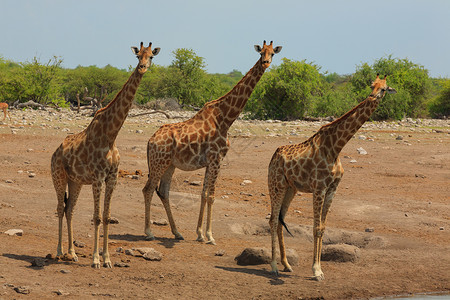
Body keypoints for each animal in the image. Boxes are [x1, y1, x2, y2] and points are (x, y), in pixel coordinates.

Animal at [51, 41, 160, 268]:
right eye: (138, 56)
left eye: (151, 57)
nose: (142, 68)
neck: (111, 135)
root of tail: (55, 152)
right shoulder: (98, 178)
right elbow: (97, 217)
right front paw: (95, 260)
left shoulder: (112, 177)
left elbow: (107, 216)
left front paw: (107, 259)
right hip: (58, 176)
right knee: (59, 208)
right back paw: (59, 251)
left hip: (75, 182)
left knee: (69, 209)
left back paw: (72, 253)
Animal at [142, 41, 282, 245]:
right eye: (261, 52)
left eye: (272, 53)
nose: (265, 63)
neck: (226, 118)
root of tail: (150, 140)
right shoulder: (217, 159)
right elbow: (212, 196)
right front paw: (209, 235)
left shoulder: (210, 162)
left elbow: (203, 194)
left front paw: (200, 233)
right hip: (158, 163)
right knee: (148, 189)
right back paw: (149, 232)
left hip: (169, 165)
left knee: (163, 192)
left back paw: (177, 232)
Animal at [268, 74, 398, 278]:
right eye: (372, 85)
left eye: (384, 88)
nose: (372, 96)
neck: (336, 147)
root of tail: (273, 157)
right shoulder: (319, 188)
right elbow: (315, 228)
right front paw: (315, 270)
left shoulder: (332, 189)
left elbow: (322, 228)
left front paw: (319, 269)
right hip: (276, 185)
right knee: (273, 220)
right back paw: (273, 266)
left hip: (291, 189)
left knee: (281, 221)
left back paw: (287, 265)